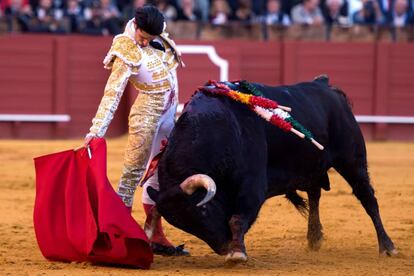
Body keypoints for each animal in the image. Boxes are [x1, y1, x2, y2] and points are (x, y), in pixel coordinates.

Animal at [146, 76, 394, 262]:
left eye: (204, 210)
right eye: (184, 225)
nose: (224, 246)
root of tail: (326, 85)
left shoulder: (253, 184)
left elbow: (238, 217)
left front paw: (237, 253)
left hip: (352, 160)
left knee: (367, 198)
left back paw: (387, 246)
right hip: (312, 167)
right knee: (315, 195)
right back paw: (314, 238)